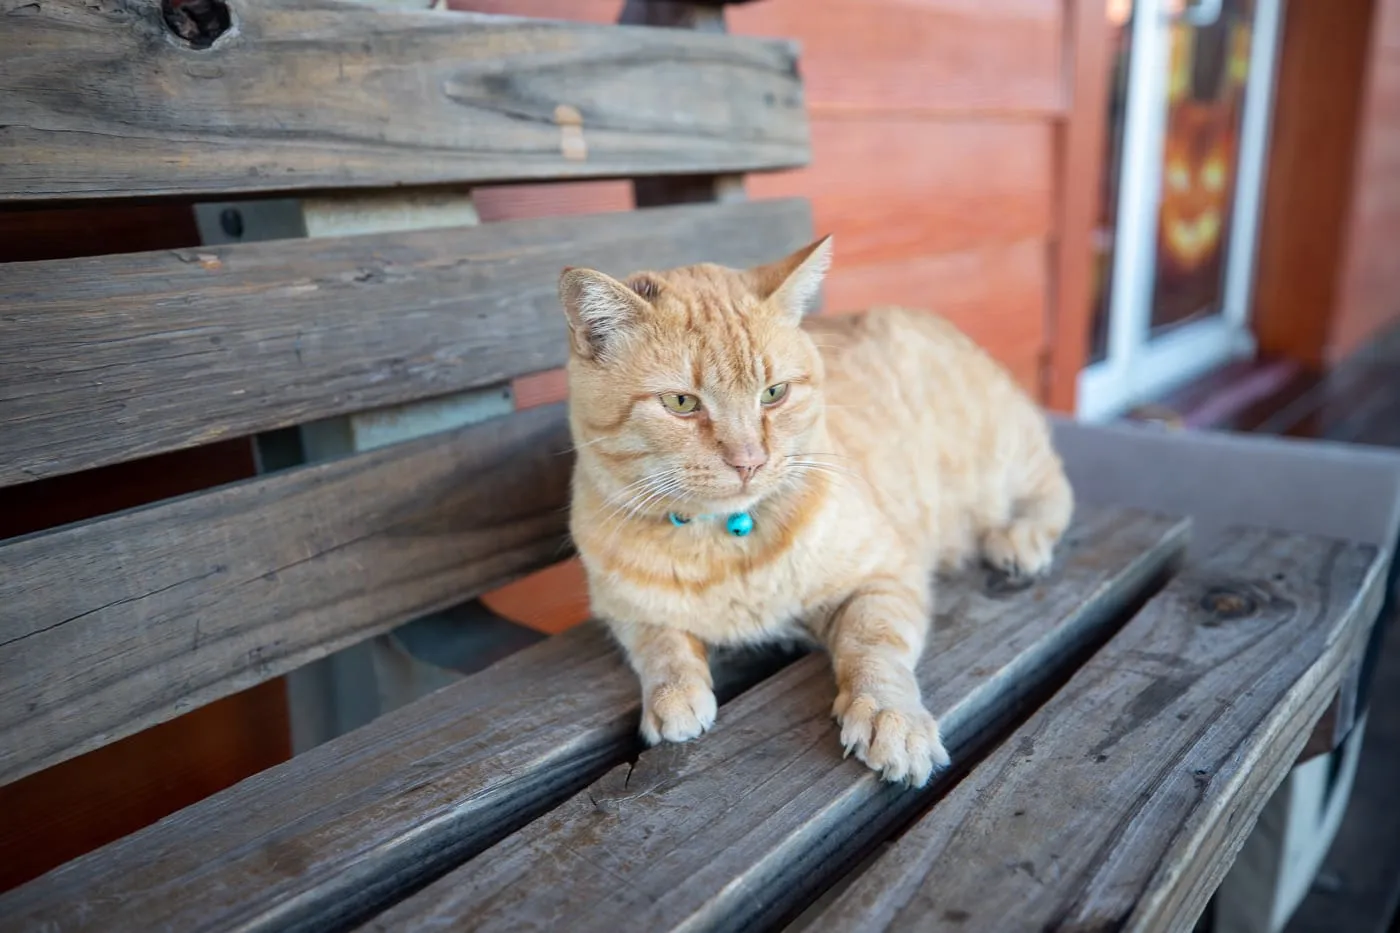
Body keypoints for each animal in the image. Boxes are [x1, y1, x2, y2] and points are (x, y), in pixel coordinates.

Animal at [557, 233, 1069, 784]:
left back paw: (1018, 541)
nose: (749, 461)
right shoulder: (620, 609)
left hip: (1006, 459)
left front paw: (891, 716)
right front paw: (673, 695)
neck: (726, 544)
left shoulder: (884, 576)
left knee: (1055, 491)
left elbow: (874, 645)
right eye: (680, 403)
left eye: (774, 393)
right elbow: (660, 643)